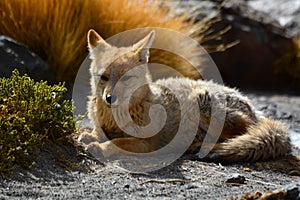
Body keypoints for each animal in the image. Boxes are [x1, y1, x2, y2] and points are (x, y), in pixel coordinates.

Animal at [79, 28, 290, 162]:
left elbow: (118, 142)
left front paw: (101, 147)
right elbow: (98, 133)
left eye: (127, 78)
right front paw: (90, 135)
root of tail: (256, 110)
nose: (109, 99)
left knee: (243, 134)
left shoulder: (147, 143)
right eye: (104, 77)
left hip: (203, 103)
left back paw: (203, 146)